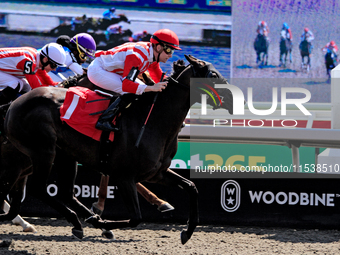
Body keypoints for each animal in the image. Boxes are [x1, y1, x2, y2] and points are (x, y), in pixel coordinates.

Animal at [1, 55, 234, 243]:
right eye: (213, 74)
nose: (234, 98)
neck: (151, 120)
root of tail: (13, 105)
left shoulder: (156, 172)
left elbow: (191, 187)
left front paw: (186, 232)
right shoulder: (124, 176)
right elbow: (136, 218)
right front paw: (103, 223)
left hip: (62, 156)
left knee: (63, 192)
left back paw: (79, 222)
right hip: (42, 153)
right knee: (37, 188)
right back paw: (85, 221)